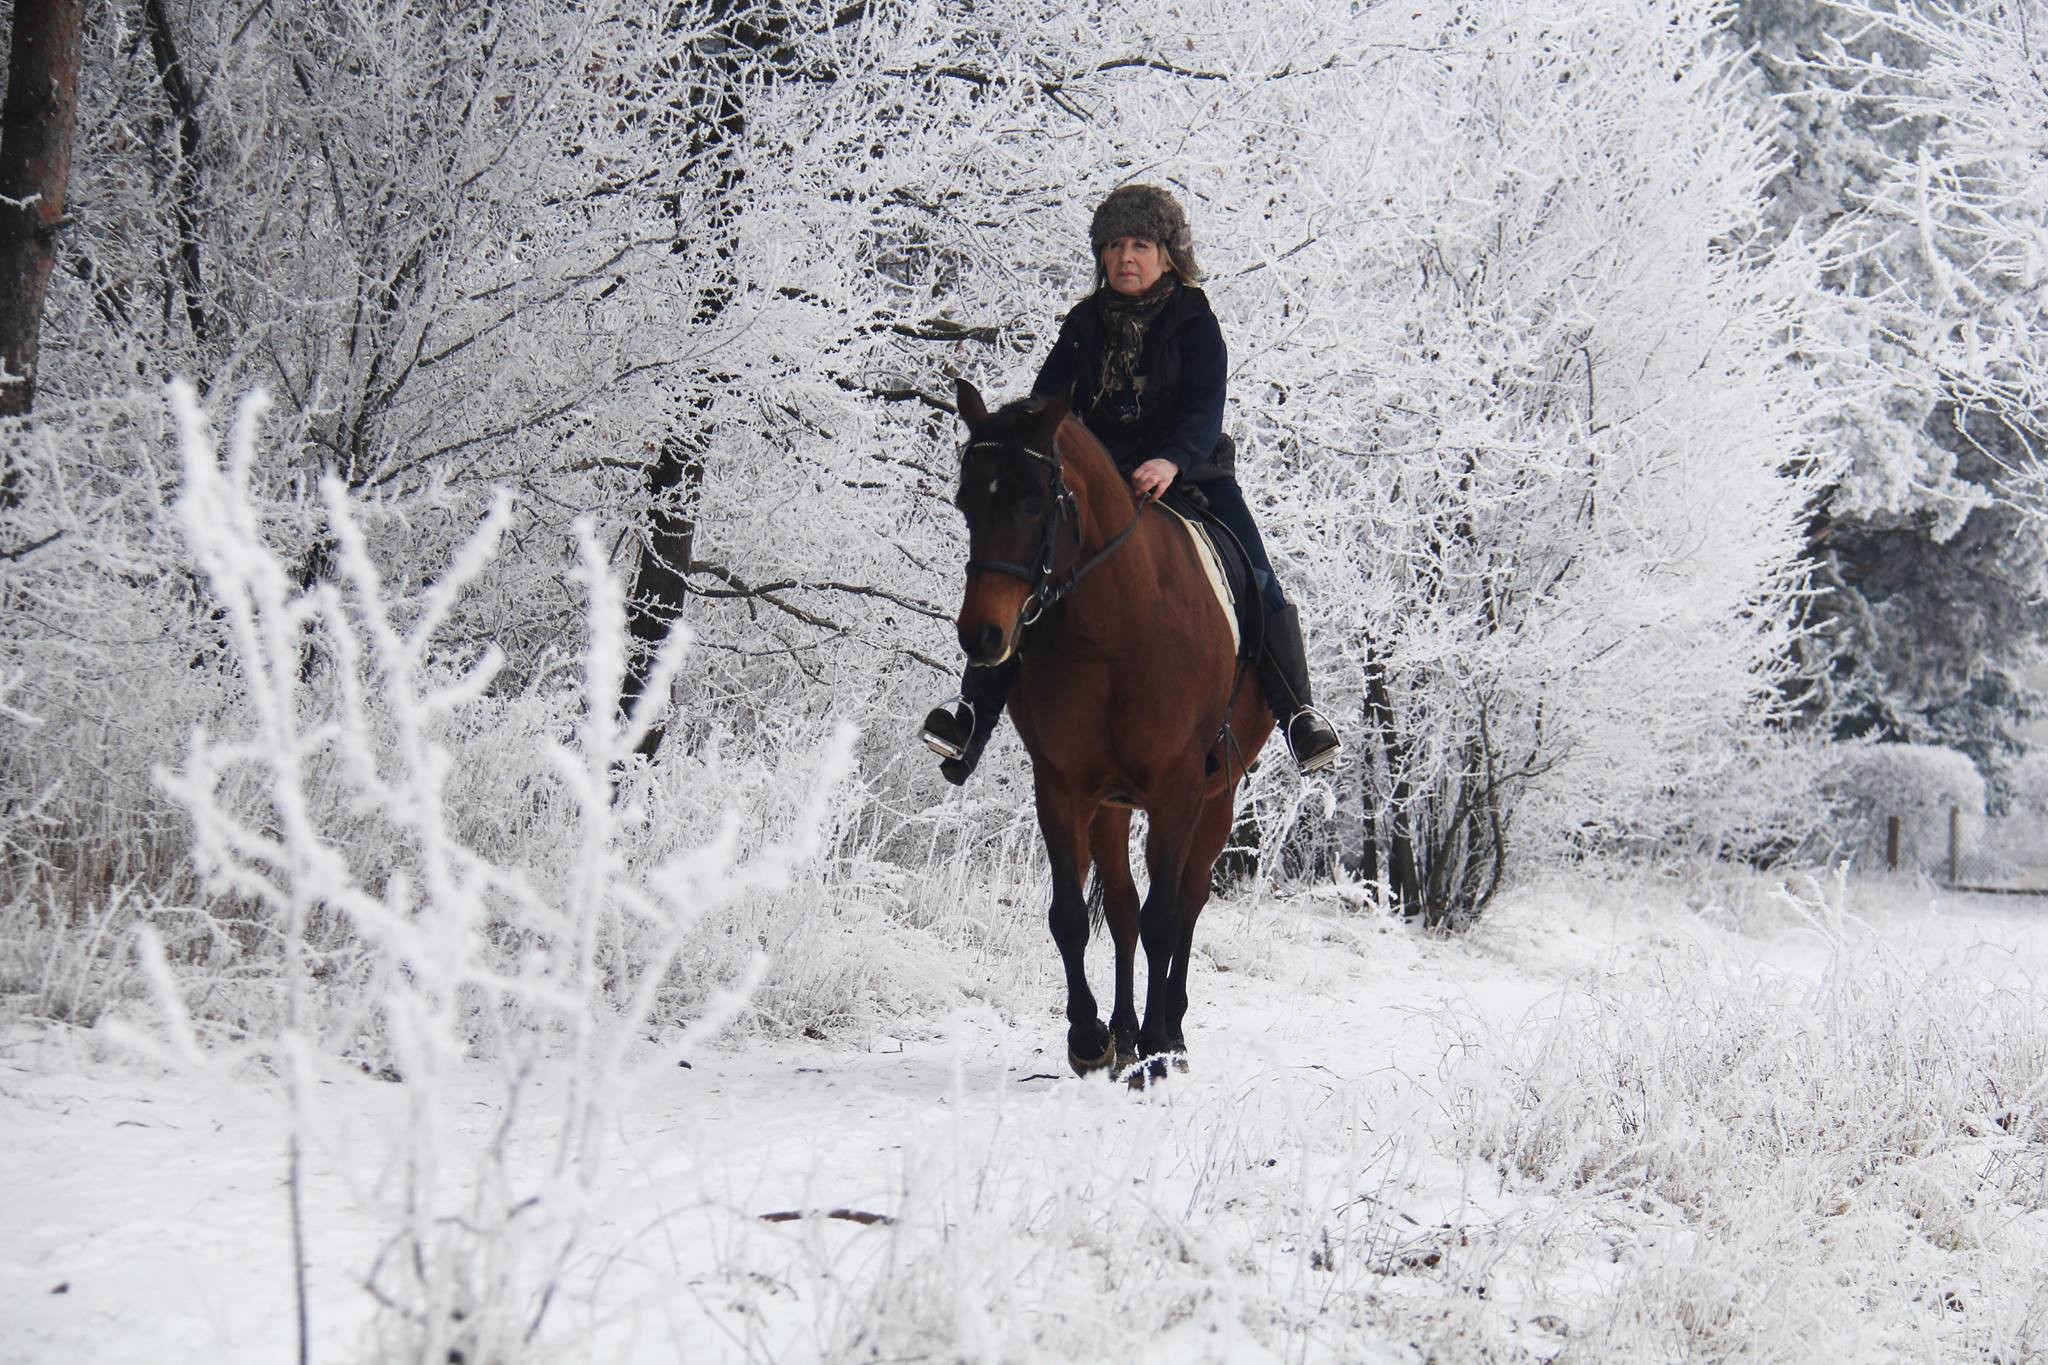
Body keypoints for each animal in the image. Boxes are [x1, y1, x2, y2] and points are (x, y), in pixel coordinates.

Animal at [949, 378, 1274, 1079]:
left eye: (1034, 502)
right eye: (966, 501)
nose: (982, 637)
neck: (1116, 626)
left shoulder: (1178, 790)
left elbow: (1164, 919)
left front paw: (1157, 1047)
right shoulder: (1063, 787)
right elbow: (1073, 917)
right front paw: (1089, 1036)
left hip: (1218, 797)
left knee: (1187, 903)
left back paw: (1169, 1032)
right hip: (1112, 806)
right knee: (1123, 908)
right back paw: (1124, 1032)